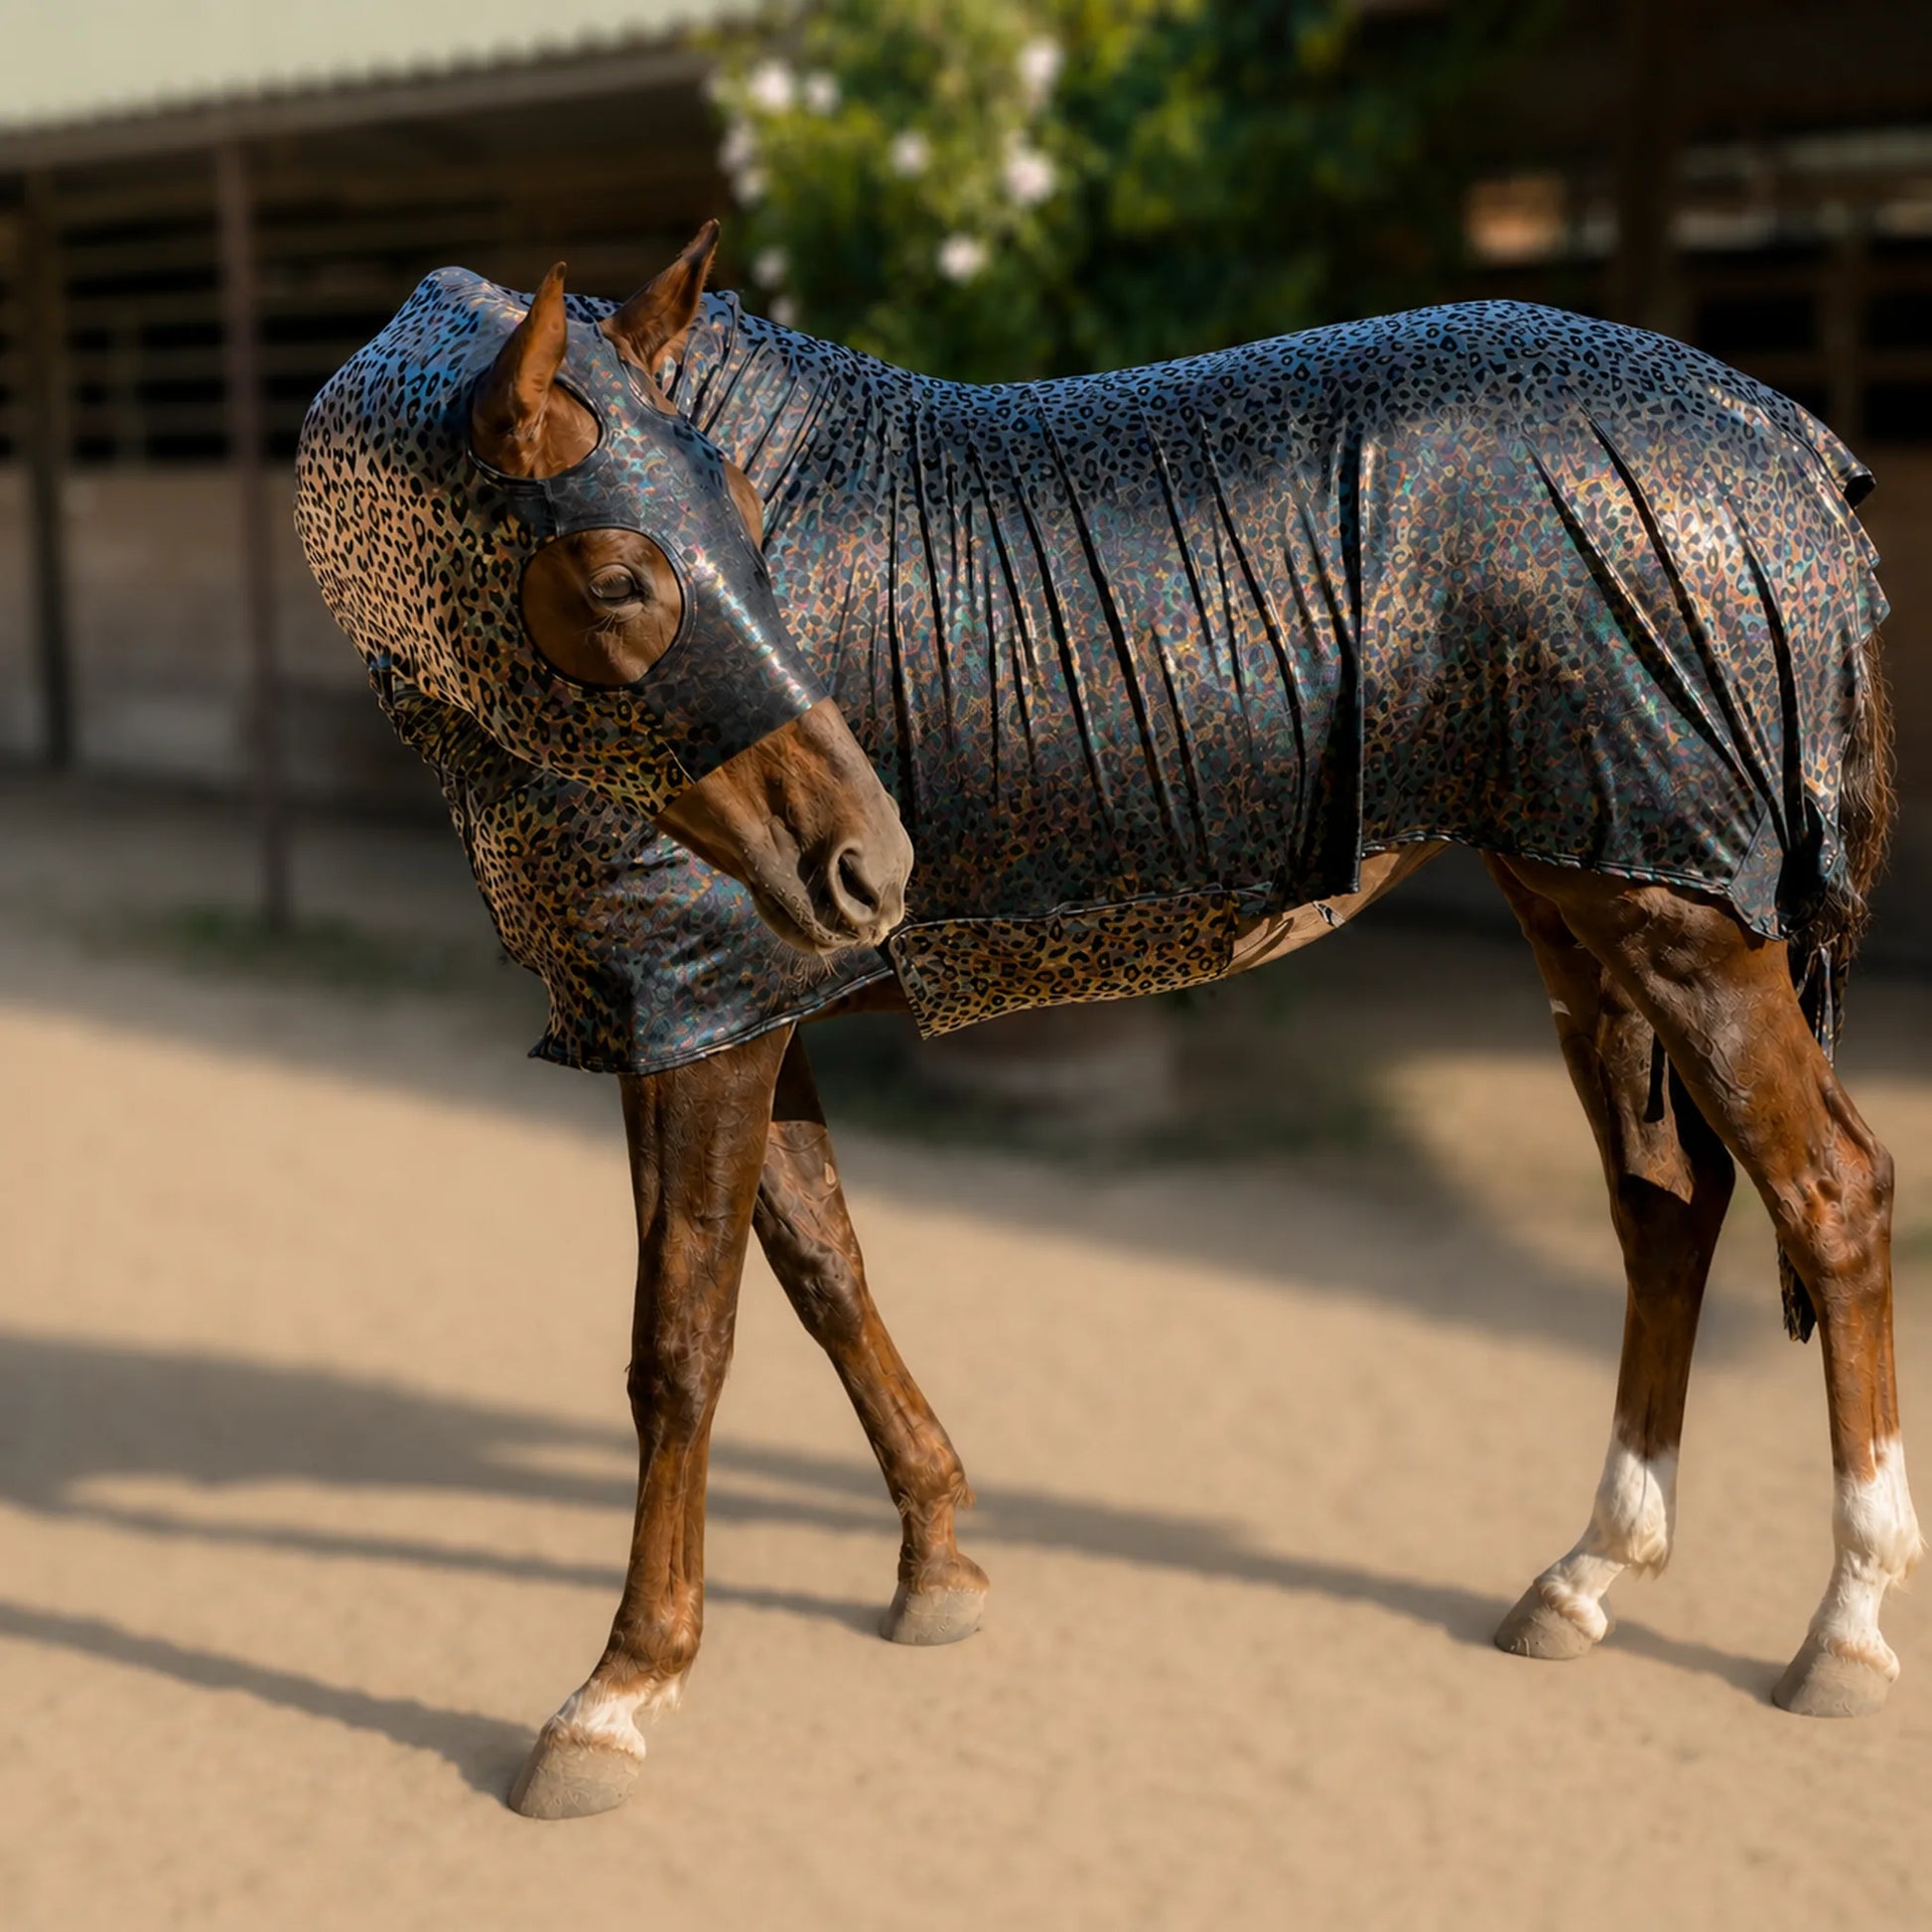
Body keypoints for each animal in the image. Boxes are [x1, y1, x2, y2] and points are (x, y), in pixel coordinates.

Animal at [296, 223, 1917, 1822]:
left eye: (747, 526)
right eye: (624, 574)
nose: (869, 866)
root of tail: (1772, 437)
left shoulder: (704, 1009)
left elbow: (681, 1340)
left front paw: (617, 1693)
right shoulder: (736, 1007)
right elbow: (825, 1267)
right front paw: (936, 1563)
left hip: (1677, 922)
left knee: (1829, 1191)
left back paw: (1844, 1623)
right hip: (1578, 900)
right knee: (1663, 1206)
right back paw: (1586, 1575)